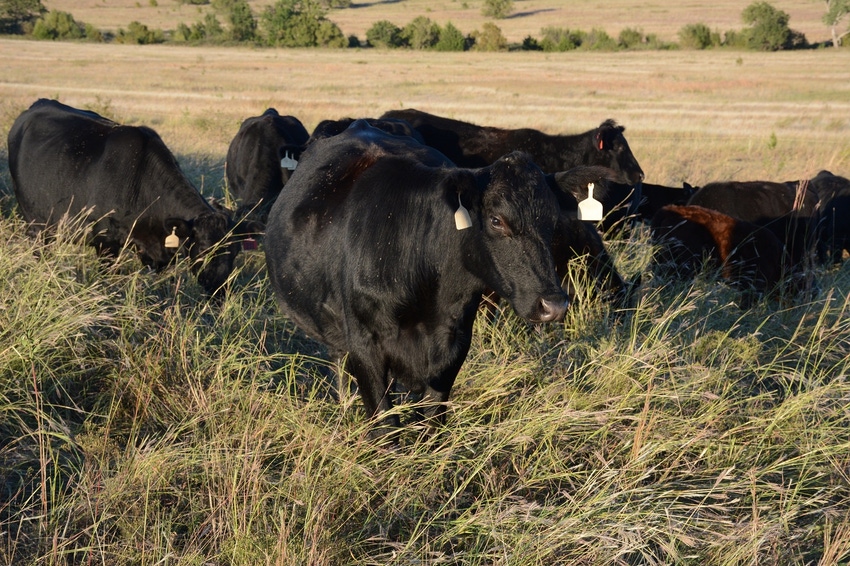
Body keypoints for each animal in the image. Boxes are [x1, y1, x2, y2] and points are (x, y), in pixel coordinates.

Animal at [264, 120, 568, 440]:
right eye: (497, 220)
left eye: (553, 222)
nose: (554, 305)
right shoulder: (364, 345)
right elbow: (385, 425)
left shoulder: (455, 342)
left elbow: (432, 421)